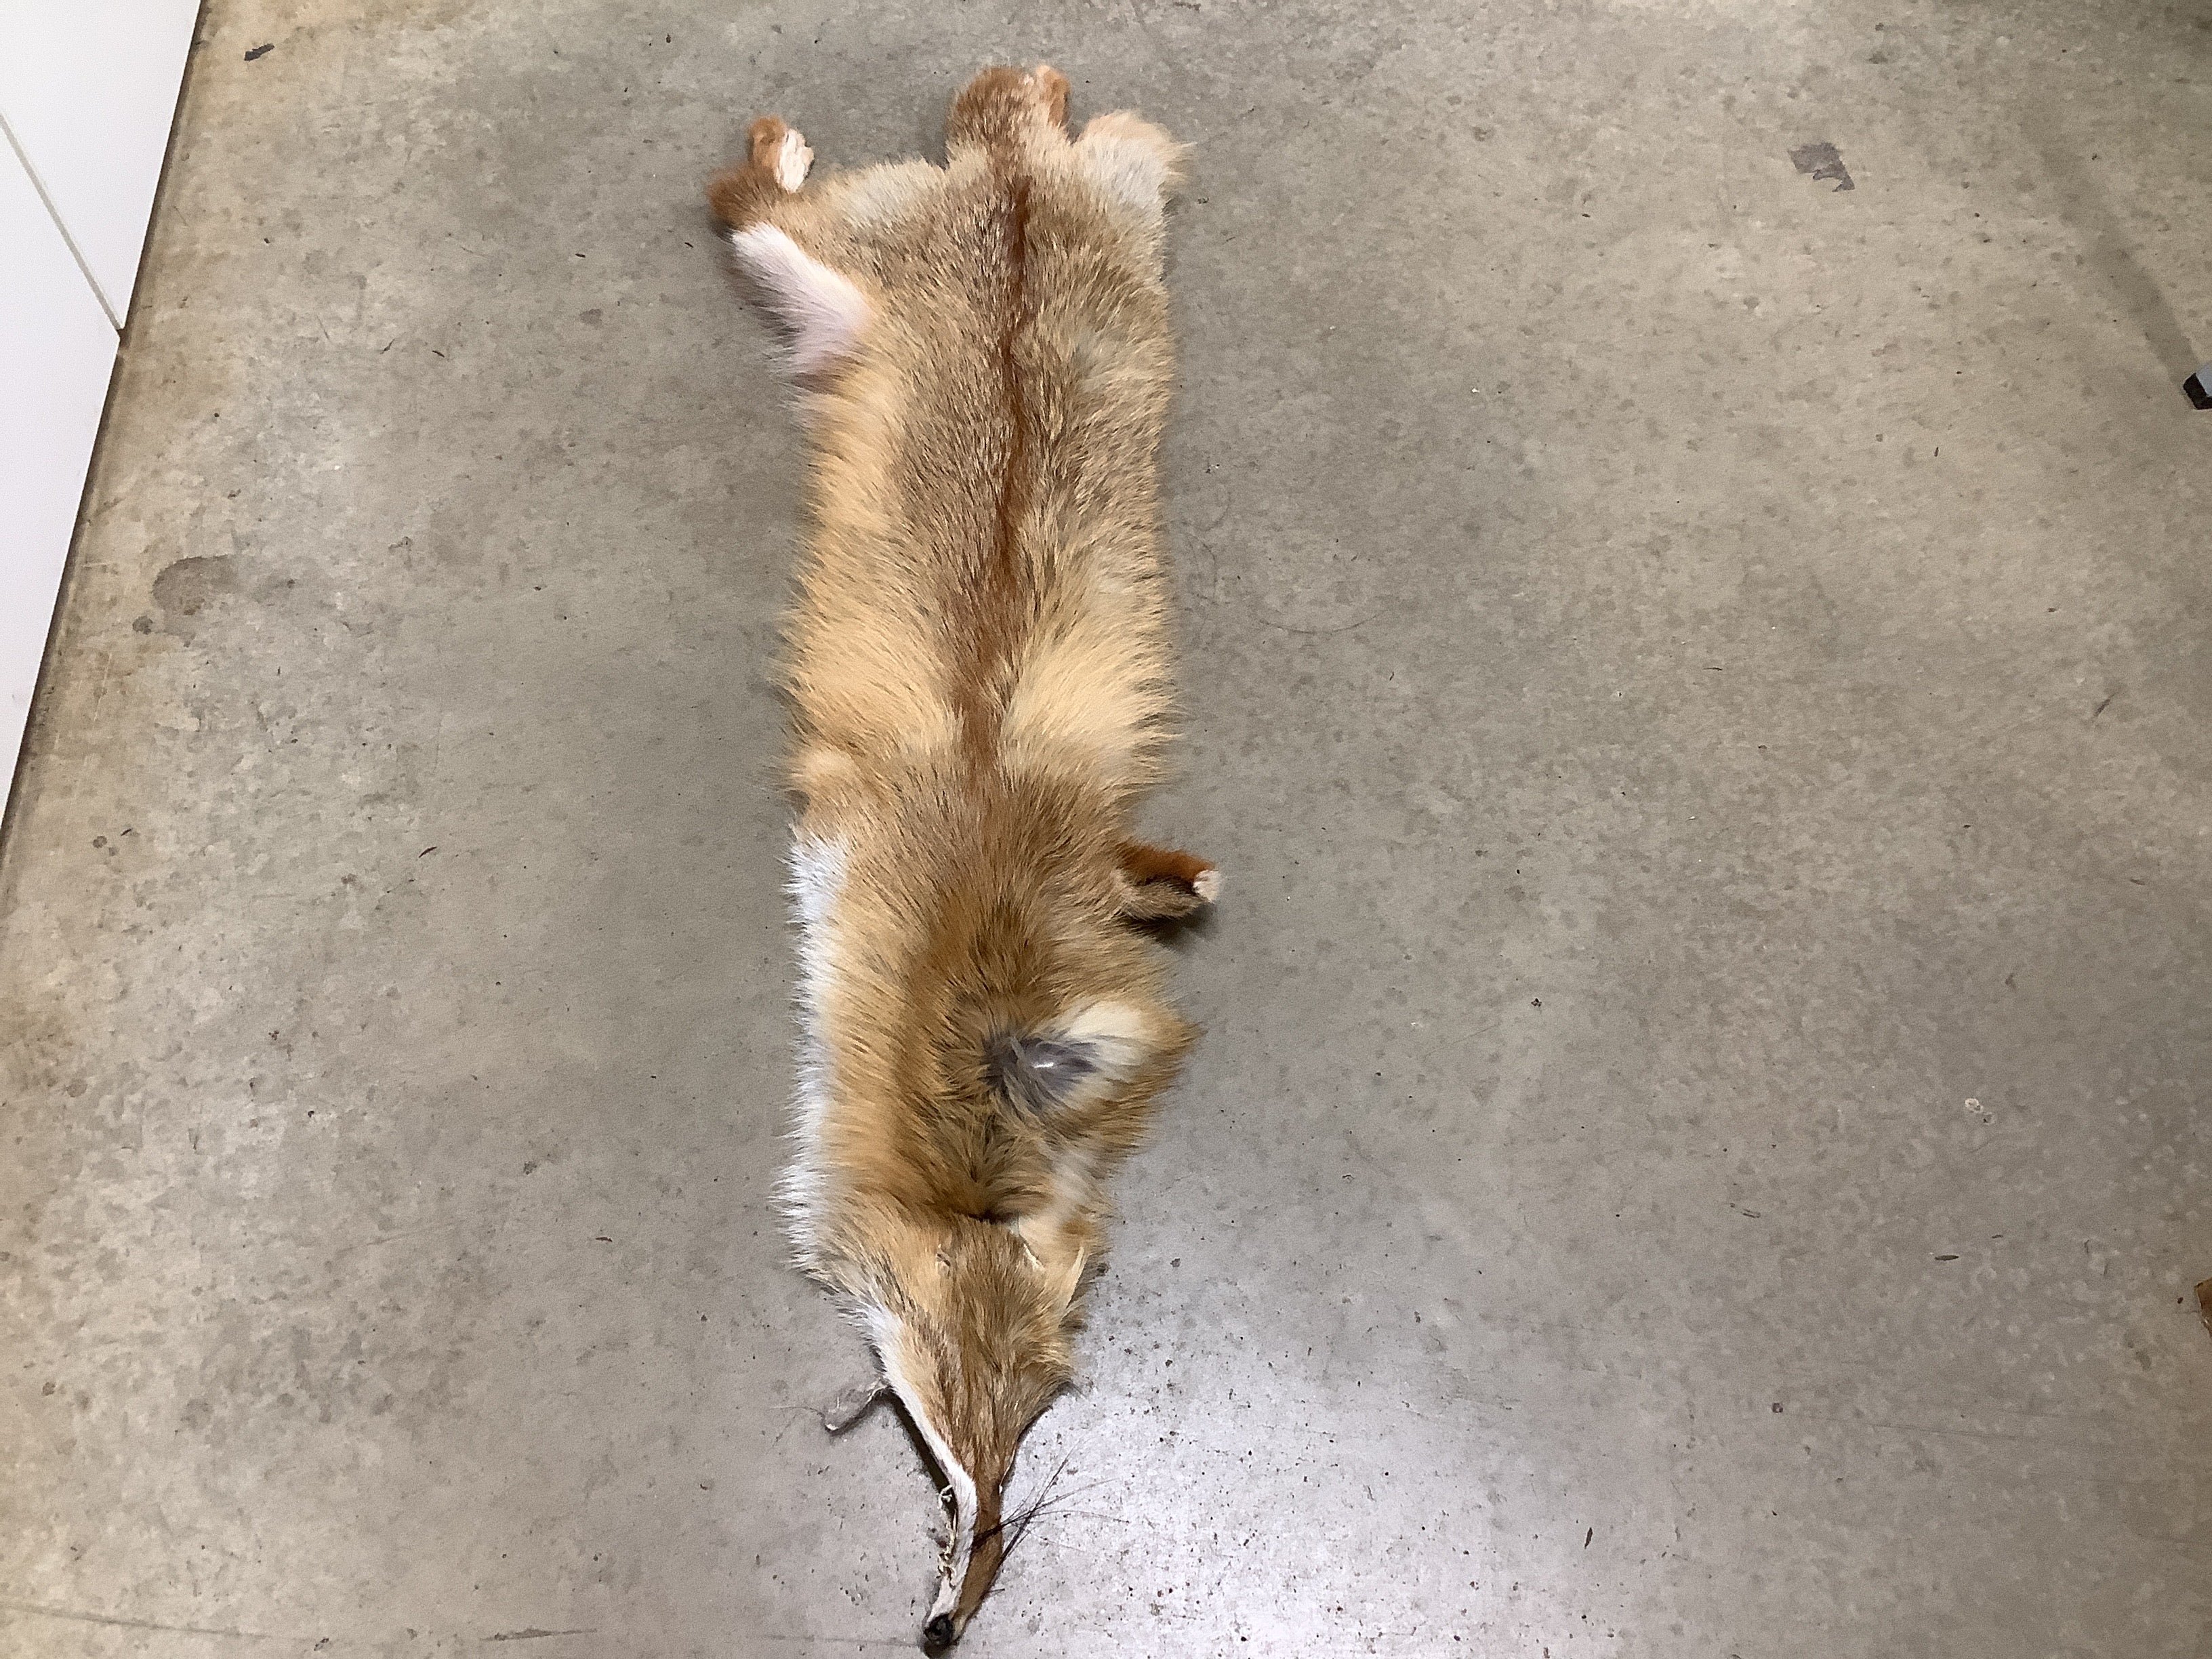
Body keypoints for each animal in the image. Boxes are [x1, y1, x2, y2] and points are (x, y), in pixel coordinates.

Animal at [705, 64, 1215, 1649]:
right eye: (976, 1419)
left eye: (1033, 1420)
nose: (949, 1621)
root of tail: (1015, 187)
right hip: (821, 267)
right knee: (738, 196)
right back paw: (789, 138)